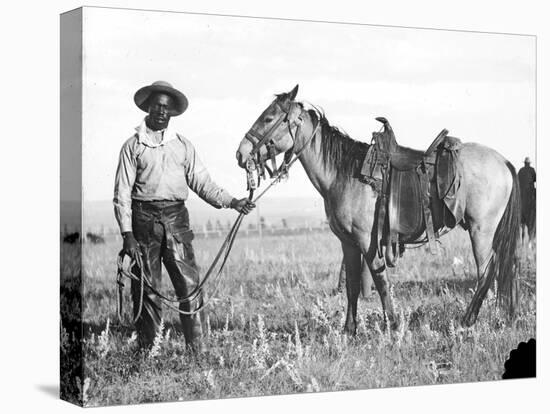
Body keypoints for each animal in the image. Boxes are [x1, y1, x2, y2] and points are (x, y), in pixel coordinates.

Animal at [237, 85, 520, 334]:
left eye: (268, 117)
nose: (241, 154)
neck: (343, 173)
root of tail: (505, 162)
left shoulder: (367, 240)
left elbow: (380, 280)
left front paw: (393, 327)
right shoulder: (348, 242)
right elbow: (352, 284)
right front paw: (349, 332)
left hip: (481, 230)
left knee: (486, 271)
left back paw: (466, 321)